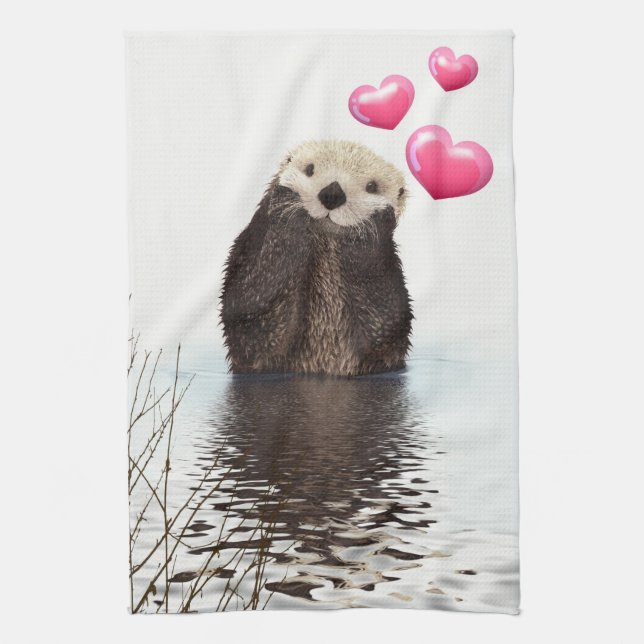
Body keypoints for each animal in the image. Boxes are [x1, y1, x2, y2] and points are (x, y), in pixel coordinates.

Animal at [220, 140, 413, 376]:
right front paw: (288, 204)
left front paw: (368, 229)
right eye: (310, 169)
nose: (333, 193)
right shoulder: (248, 251)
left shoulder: (390, 281)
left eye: (372, 186)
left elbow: (385, 324)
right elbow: (251, 312)